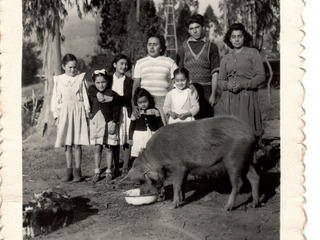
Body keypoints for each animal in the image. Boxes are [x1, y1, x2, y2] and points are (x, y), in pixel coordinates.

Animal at [125, 115, 260, 211]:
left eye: (144, 180)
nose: (142, 193)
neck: (158, 155)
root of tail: (250, 133)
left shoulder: (178, 166)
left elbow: (176, 185)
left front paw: (172, 206)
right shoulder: (185, 168)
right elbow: (182, 185)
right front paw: (182, 199)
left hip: (233, 160)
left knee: (238, 183)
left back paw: (226, 208)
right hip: (247, 161)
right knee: (254, 178)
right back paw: (254, 204)